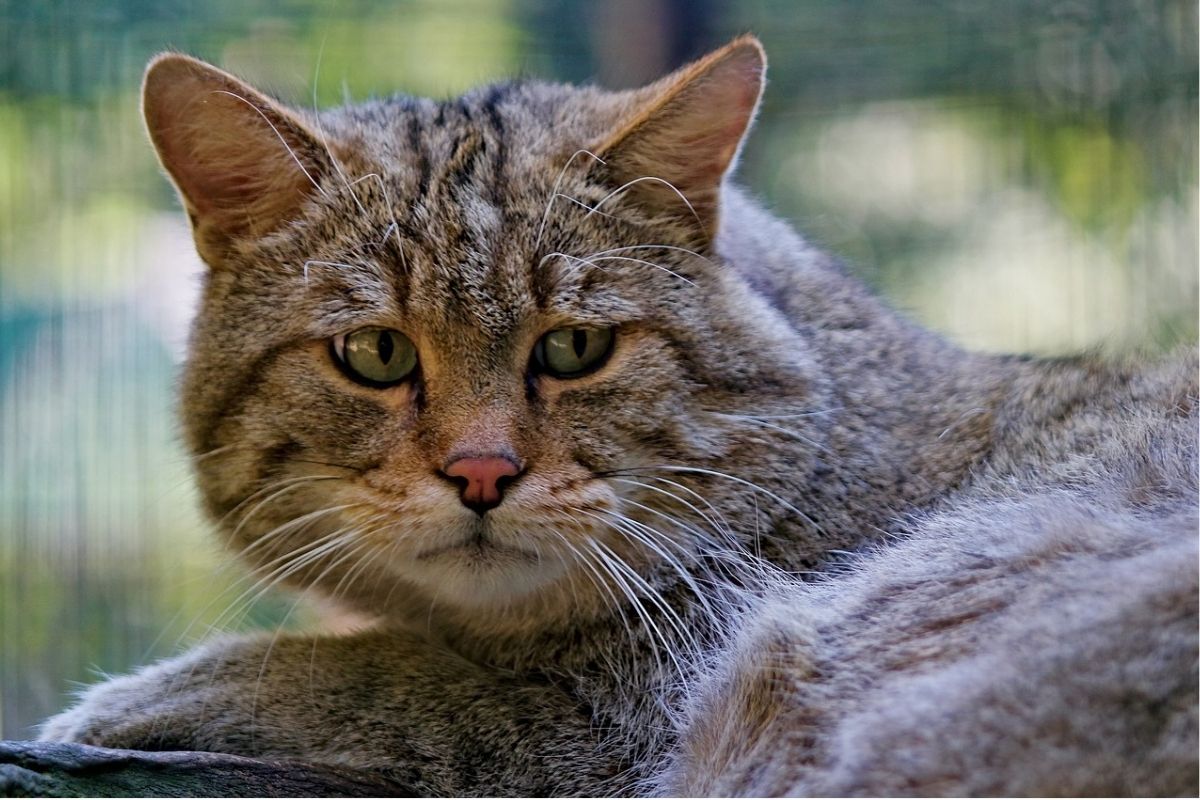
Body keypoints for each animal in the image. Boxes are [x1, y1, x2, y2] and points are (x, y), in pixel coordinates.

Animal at [32, 35, 1195, 796]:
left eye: (574, 347)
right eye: (376, 353)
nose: (483, 472)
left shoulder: (615, 722)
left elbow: (371, 673)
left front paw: (135, 697)